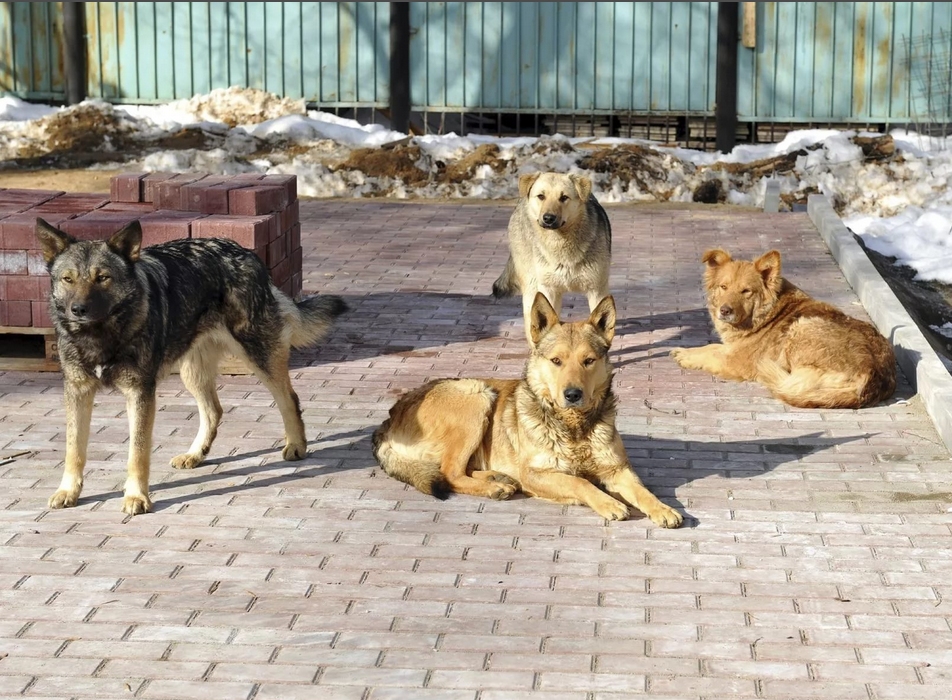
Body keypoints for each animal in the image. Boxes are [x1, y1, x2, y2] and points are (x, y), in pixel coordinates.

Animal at [38, 219, 350, 516]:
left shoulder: (140, 394)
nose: (78, 310)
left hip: (259, 357)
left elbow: (136, 454)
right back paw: (196, 454)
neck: (102, 336)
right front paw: (68, 491)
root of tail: (245, 252)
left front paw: (136, 497)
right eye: (68, 279)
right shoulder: (78, 392)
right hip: (192, 373)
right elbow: (74, 449)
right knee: (214, 410)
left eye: (102, 278)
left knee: (289, 399)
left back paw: (296, 445)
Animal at [372, 292, 684, 528]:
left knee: (459, 470)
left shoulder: (618, 469)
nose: (573, 395)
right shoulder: (537, 473)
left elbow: (642, 491)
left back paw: (497, 478)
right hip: (476, 394)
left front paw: (662, 508)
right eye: (556, 361)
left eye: (589, 361)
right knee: (450, 474)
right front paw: (607, 501)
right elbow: (578, 483)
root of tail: (386, 422)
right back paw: (494, 487)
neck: (572, 426)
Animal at [490, 172, 608, 342]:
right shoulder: (548, 290)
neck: (561, 244)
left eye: (564, 197)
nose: (548, 218)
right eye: (541, 196)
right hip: (533, 288)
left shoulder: (596, 290)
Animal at [664, 247, 896, 408]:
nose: (725, 310)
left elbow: (712, 354)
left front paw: (687, 357)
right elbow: (711, 347)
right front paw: (686, 351)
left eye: (746, 291)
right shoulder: (733, 348)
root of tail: (873, 376)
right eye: (723, 287)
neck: (764, 316)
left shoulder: (738, 360)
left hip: (802, 327)